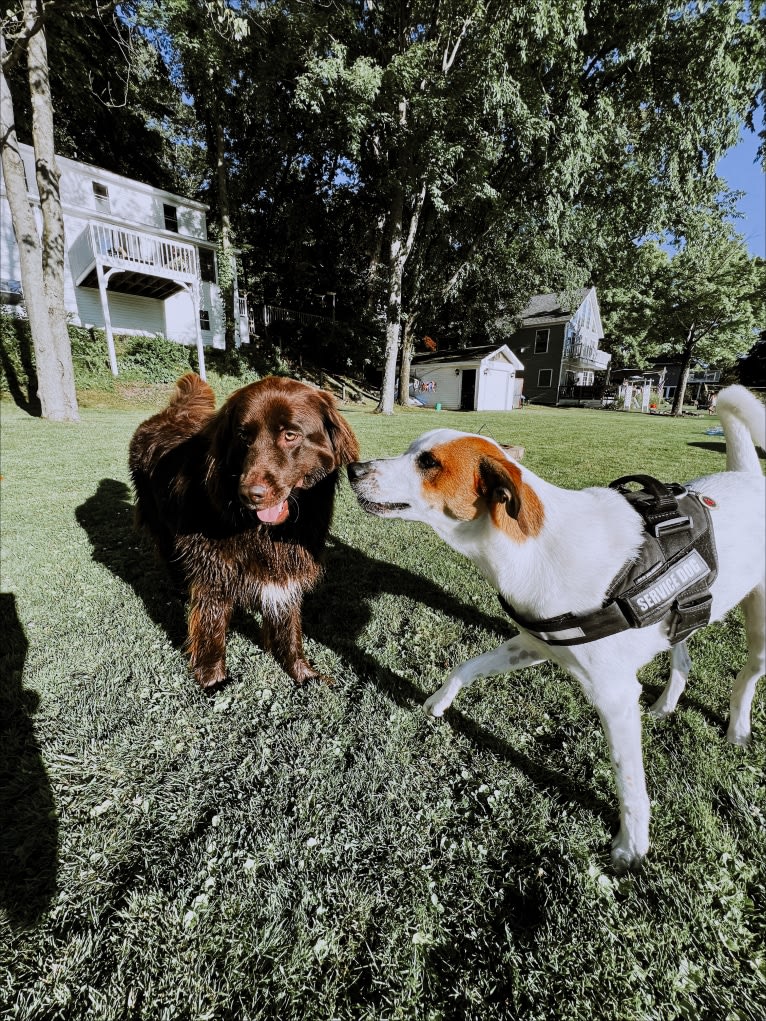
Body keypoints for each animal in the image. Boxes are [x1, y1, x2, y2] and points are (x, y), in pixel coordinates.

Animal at [128, 371, 359, 690]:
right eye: (243, 437)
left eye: (290, 435)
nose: (250, 494)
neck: (261, 531)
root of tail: (168, 414)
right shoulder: (212, 572)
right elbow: (211, 628)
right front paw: (213, 682)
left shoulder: (286, 569)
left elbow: (289, 627)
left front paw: (303, 674)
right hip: (162, 527)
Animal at [349, 383, 766, 869]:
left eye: (428, 462)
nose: (352, 468)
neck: (531, 547)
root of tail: (748, 478)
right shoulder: (535, 643)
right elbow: (465, 667)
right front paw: (438, 701)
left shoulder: (614, 697)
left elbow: (629, 783)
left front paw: (632, 845)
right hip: (684, 613)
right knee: (682, 654)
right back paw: (666, 705)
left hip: (759, 627)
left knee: (745, 677)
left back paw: (737, 730)